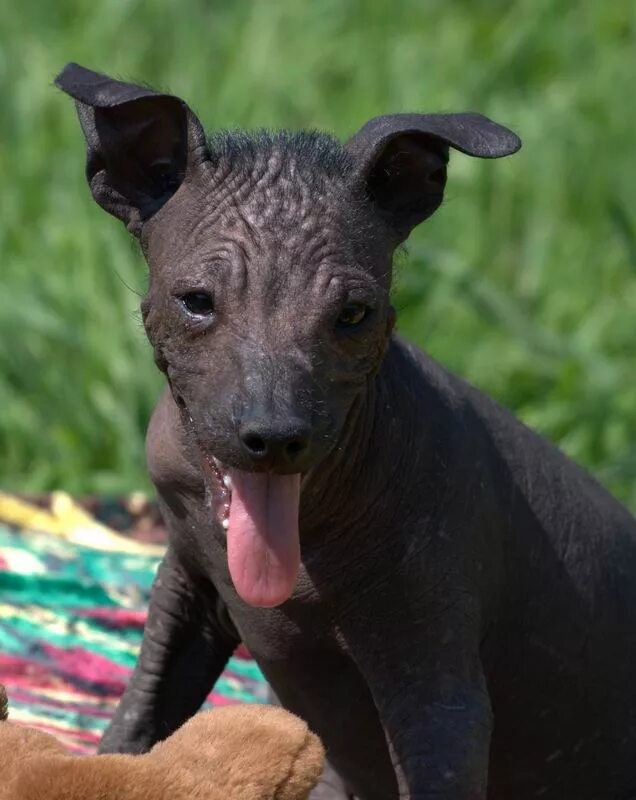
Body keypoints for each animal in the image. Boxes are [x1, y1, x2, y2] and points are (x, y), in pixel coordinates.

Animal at [54, 64, 636, 800]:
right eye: (196, 302)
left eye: (354, 314)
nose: (274, 437)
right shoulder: (186, 582)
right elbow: (141, 711)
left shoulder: (435, 681)